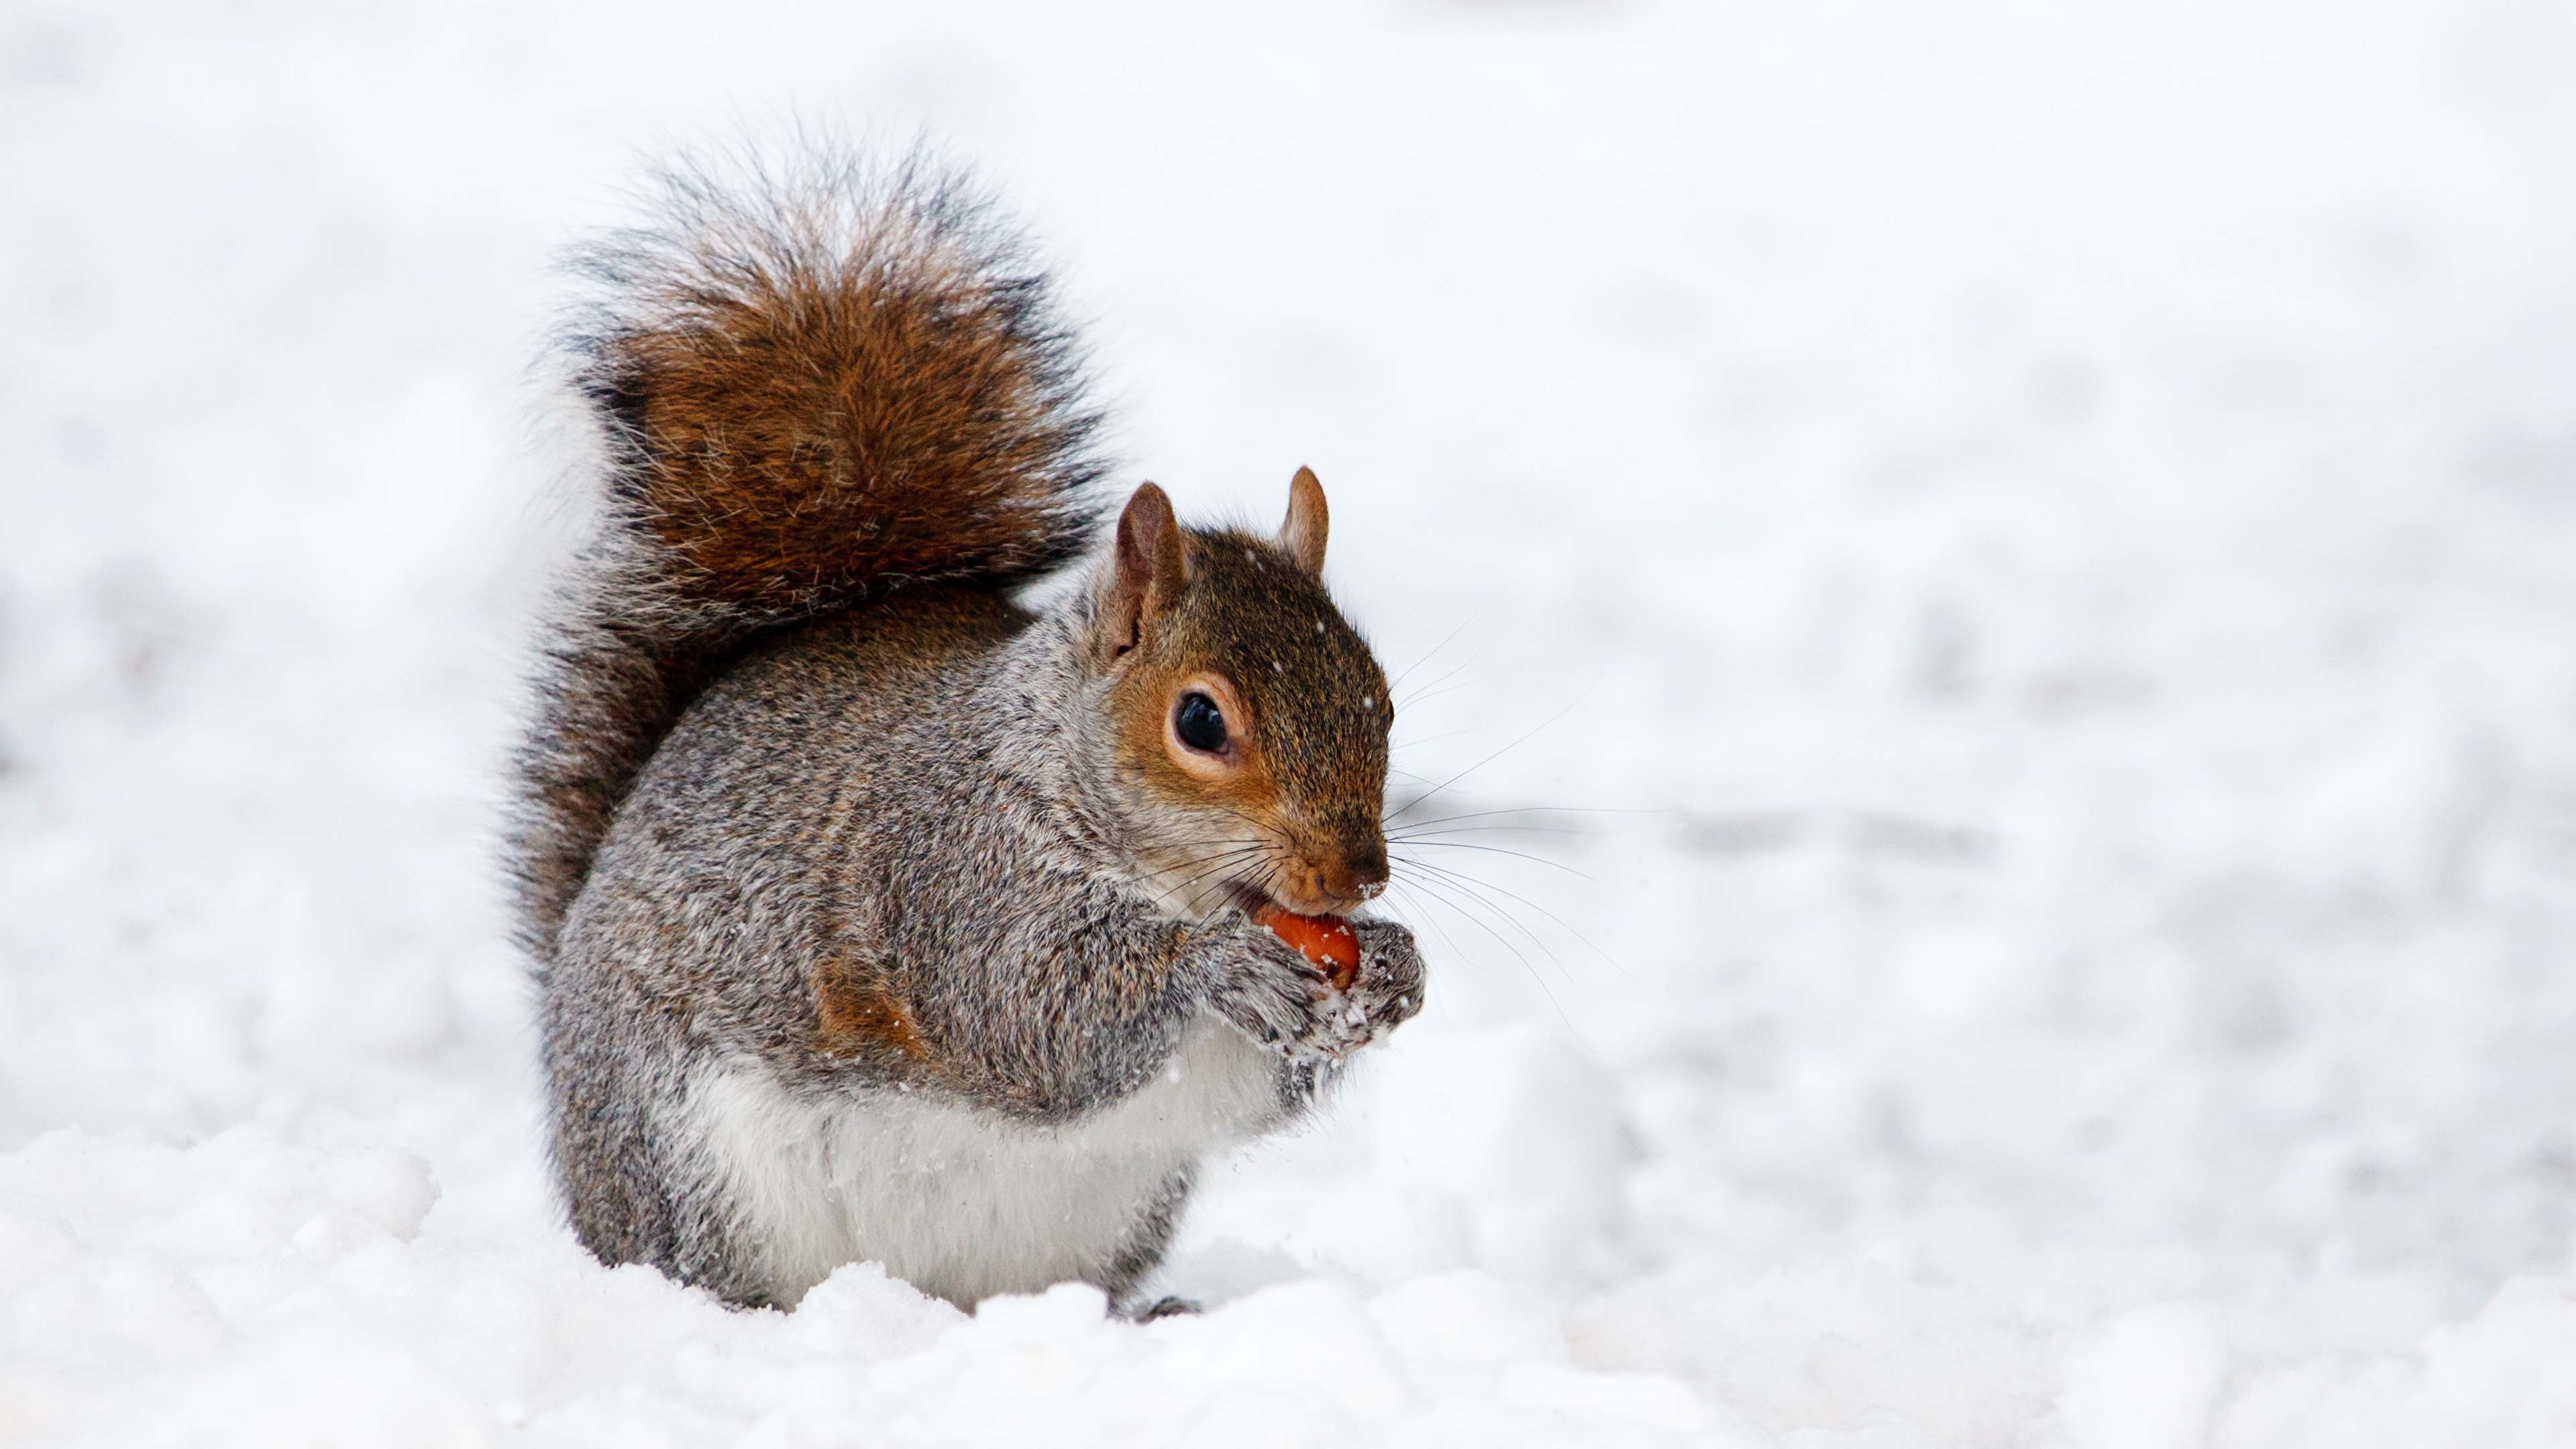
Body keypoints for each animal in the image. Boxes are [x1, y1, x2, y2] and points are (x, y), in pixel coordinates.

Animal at [507, 150, 1426, 1316]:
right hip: (690, 1167)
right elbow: (1030, 1014)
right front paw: (1219, 968)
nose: (1358, 877)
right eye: (1200, 719)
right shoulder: (948, 871)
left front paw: (1394, 969)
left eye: (1382, 699)